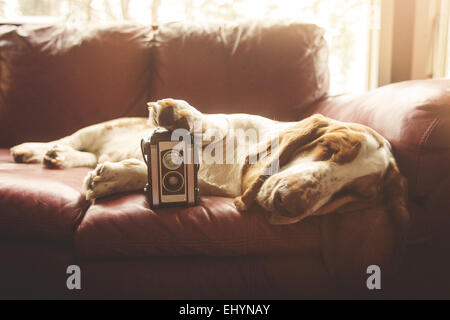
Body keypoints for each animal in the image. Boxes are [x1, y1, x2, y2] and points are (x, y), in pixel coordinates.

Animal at [10, 99, 412, 226]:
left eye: (354, 195)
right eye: (329, 150)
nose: (289, 202)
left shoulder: (202, 185)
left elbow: (144, 171)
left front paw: (110, 178)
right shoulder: (231, 121)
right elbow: (212, 123)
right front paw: (179, 115)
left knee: (83, 154)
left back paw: (59, 157)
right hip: (96, 128)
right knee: (70, 140)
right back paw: (33, 149)